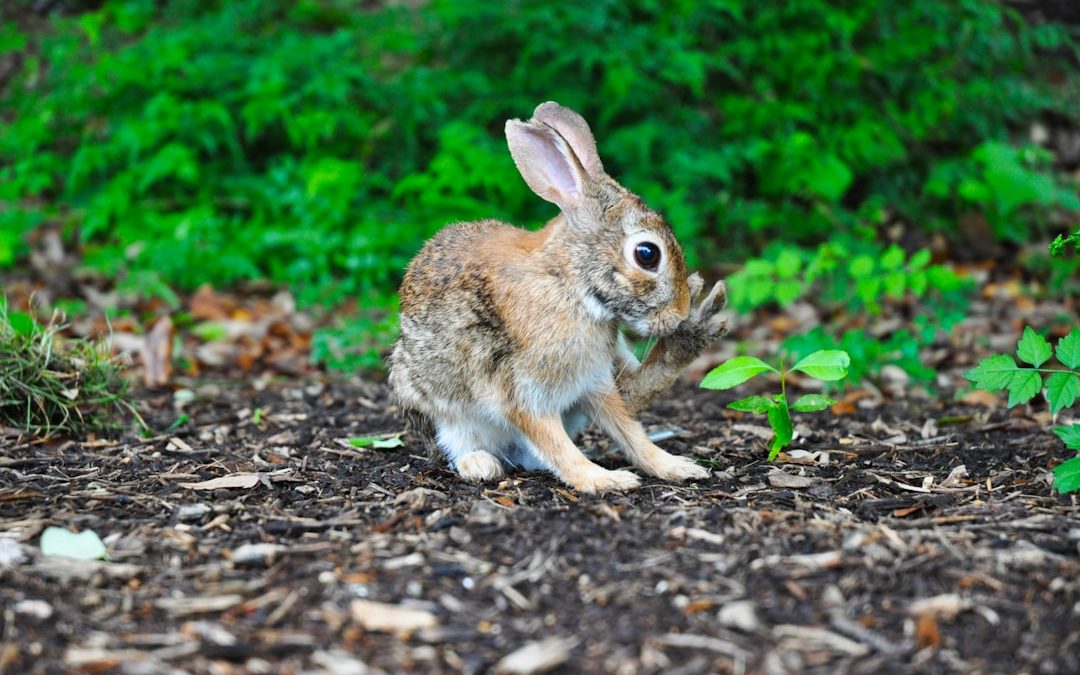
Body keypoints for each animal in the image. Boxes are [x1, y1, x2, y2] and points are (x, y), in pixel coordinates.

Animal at [388, 101, 725, 490]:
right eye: (647, 254)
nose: (680, 311)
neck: (570, 283)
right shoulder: (522, 392)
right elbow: (557, 445)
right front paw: (603, 480)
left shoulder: (594, 381)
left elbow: (629, 431)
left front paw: (674, 466)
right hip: (440, 409)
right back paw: (480, 464)